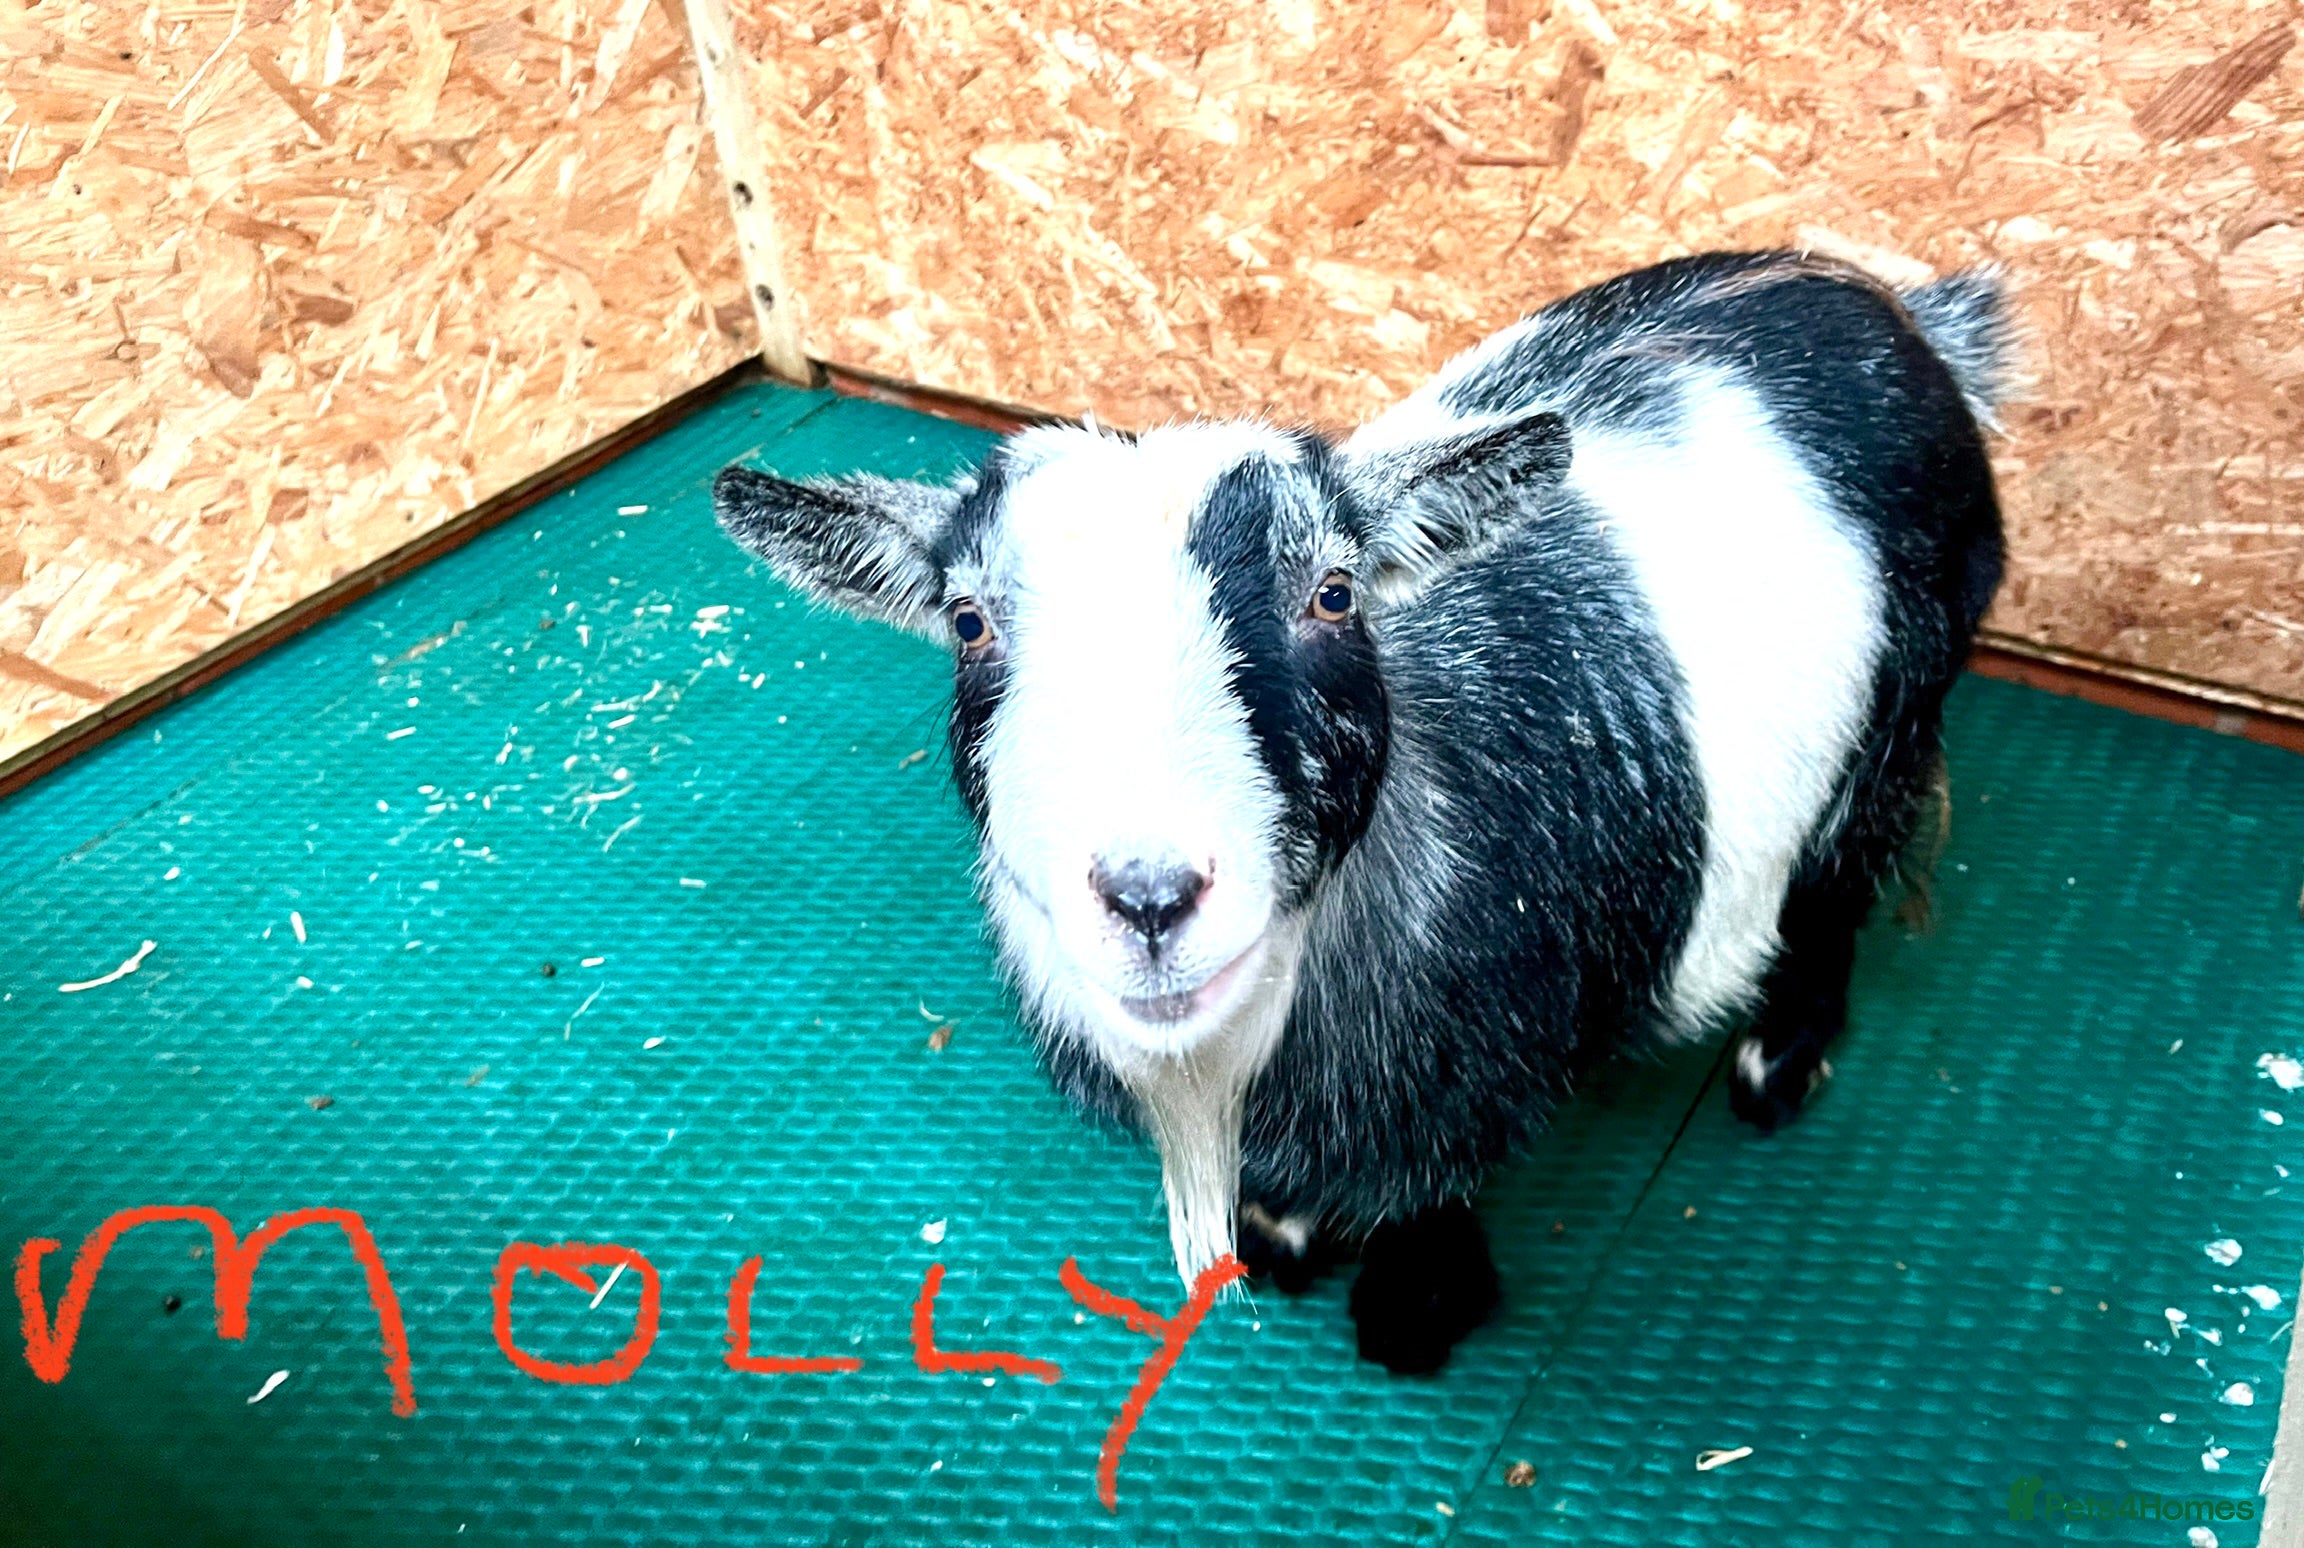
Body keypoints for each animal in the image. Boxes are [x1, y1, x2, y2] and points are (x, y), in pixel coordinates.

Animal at [713, 250, 2011, 1373]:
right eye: (970, 622)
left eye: (1334, 595)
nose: (1149, 897)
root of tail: (1899, 310)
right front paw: (1285, 1236)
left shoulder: (1465, 1080)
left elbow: (1433, 1190)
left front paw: (1414, 1306)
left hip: (1905, 705)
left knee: (1843, 882)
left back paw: (1780, 1064)